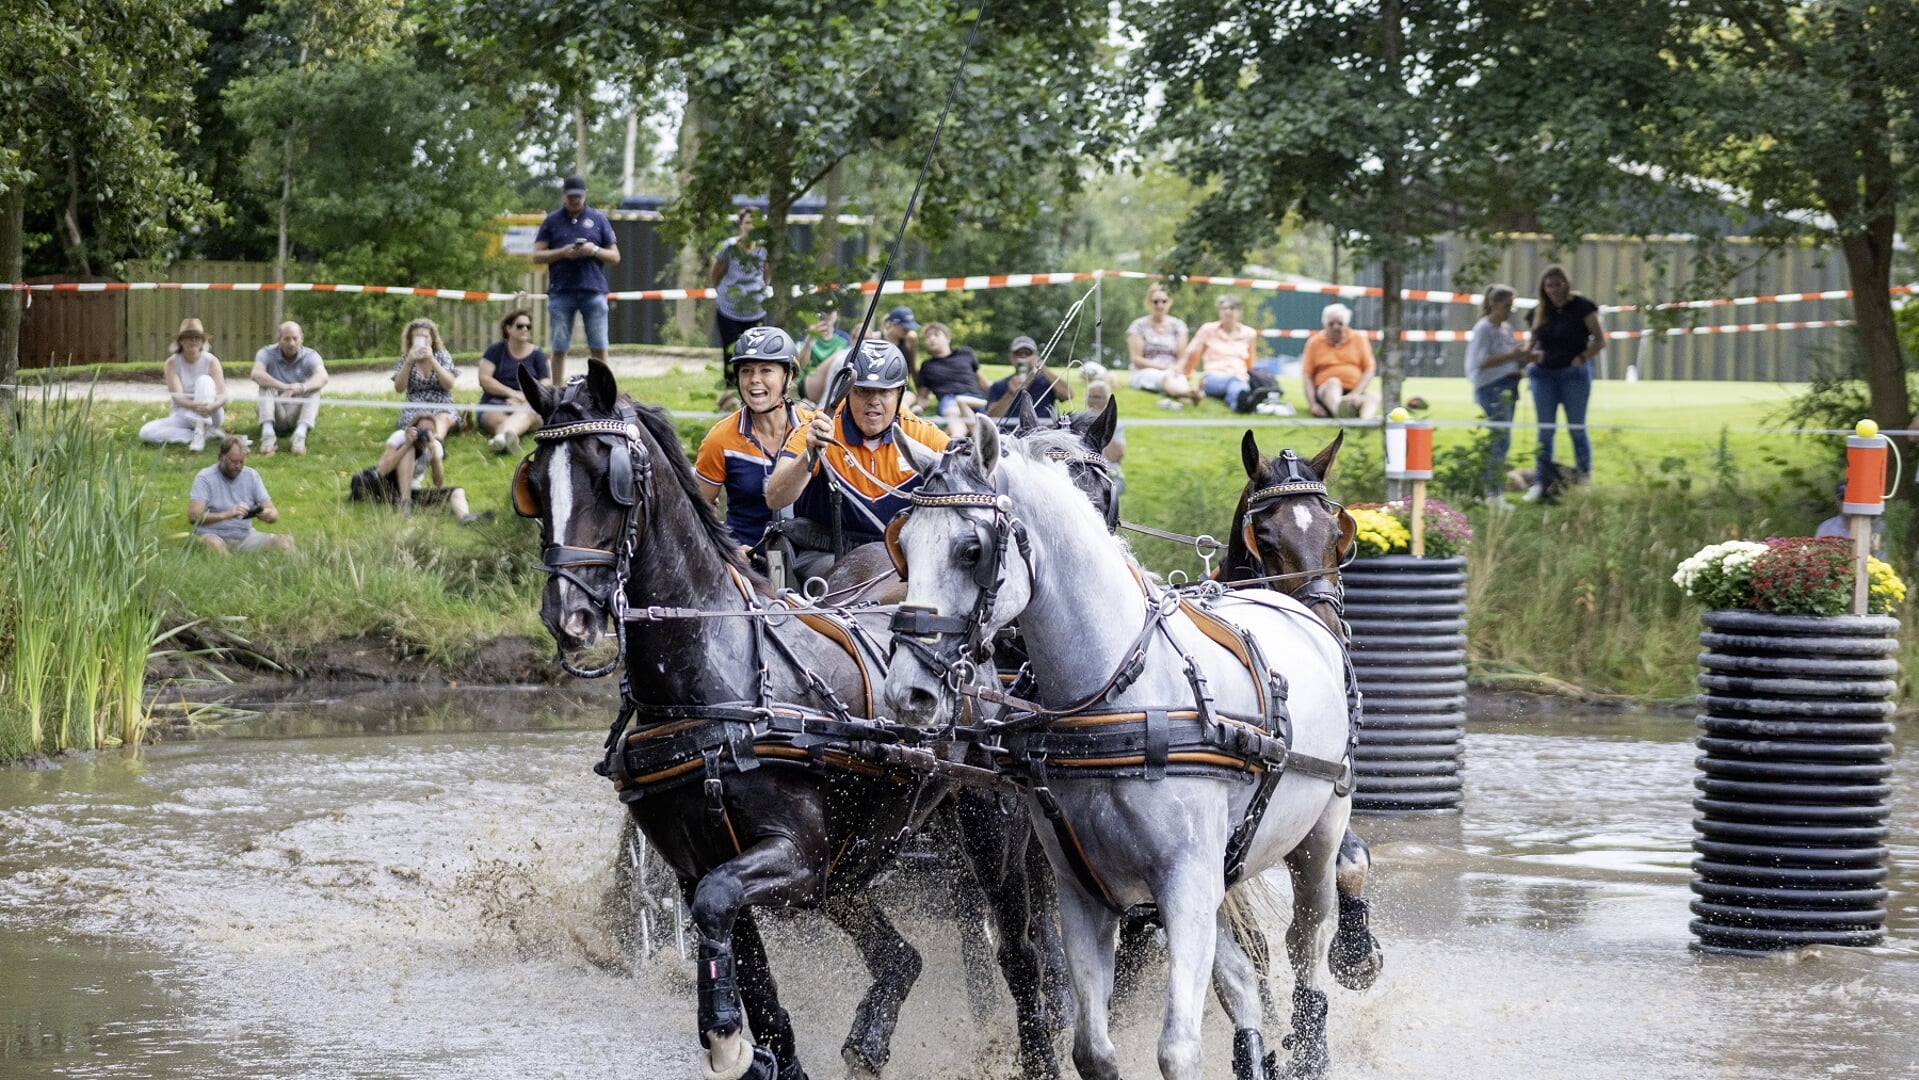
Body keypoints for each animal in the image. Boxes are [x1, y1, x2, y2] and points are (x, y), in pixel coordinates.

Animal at [521, 366, 1066, 1080]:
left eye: (608, 473)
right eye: (534, 481)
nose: (569, 615)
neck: (713, 678)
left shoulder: (792, 856)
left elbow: (721, 908)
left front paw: (726, 1039)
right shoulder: (699, 862)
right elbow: (750, 971)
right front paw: (757, 1049)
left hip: (984, 828)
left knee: (1020, 957)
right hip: (856, 852)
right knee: (900, 955)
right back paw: (869, 1035)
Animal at [878, 420, 1350, 1080]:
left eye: (971, 551)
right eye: (903, 544)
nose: (908, 692)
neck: (1115, 697)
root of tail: (1292, 606)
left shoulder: (1183, 883)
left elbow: (1177, 1048)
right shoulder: (1082, 891)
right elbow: (1092, 1049)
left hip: (1316, 840)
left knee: (1306, 952)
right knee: (1239, 976)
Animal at [1220, 431, 1389, 997]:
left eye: (1338, 535)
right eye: (1265, 538)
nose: (1327, 631)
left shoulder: (1330, 785)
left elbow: (1352, 859)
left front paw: (1357, 952)